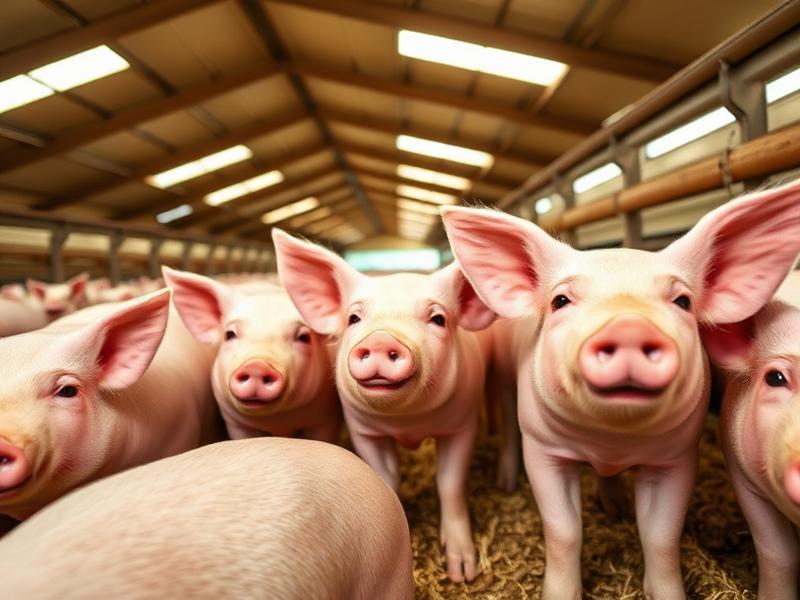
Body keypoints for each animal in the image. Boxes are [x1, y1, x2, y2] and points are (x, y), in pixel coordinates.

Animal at [162, 266, 342, 443]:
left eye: (304, 337)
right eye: (229, 334)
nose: (257, 365)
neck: (279, 422)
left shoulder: (326, 417)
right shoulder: (234, 421)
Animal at [272, 229, 496, 583]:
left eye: (438, 318)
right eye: (353, 317)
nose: (380, 339)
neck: (407, 423)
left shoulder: (462, 425)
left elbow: (449, 483)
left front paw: (462, 572)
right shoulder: (364, 430)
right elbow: (387, 479)